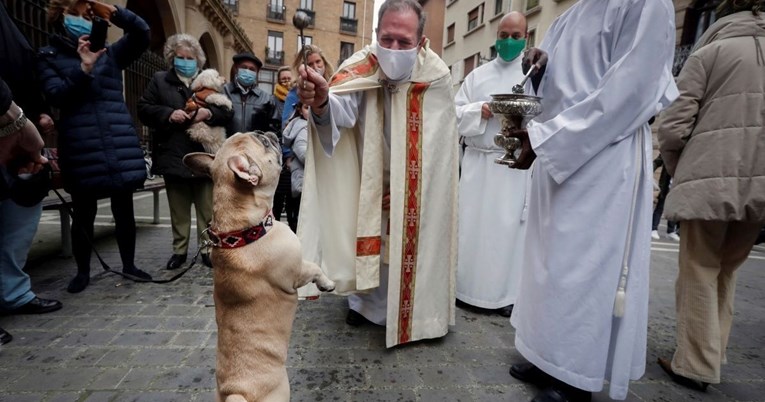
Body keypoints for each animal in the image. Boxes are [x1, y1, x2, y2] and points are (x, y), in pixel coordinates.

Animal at [183, 132, 334, 402]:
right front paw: (327, 284)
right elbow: (315, 267)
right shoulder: (297, 271)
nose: (269, 133)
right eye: (263, 144)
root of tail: (235, 391)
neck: (243, 231)